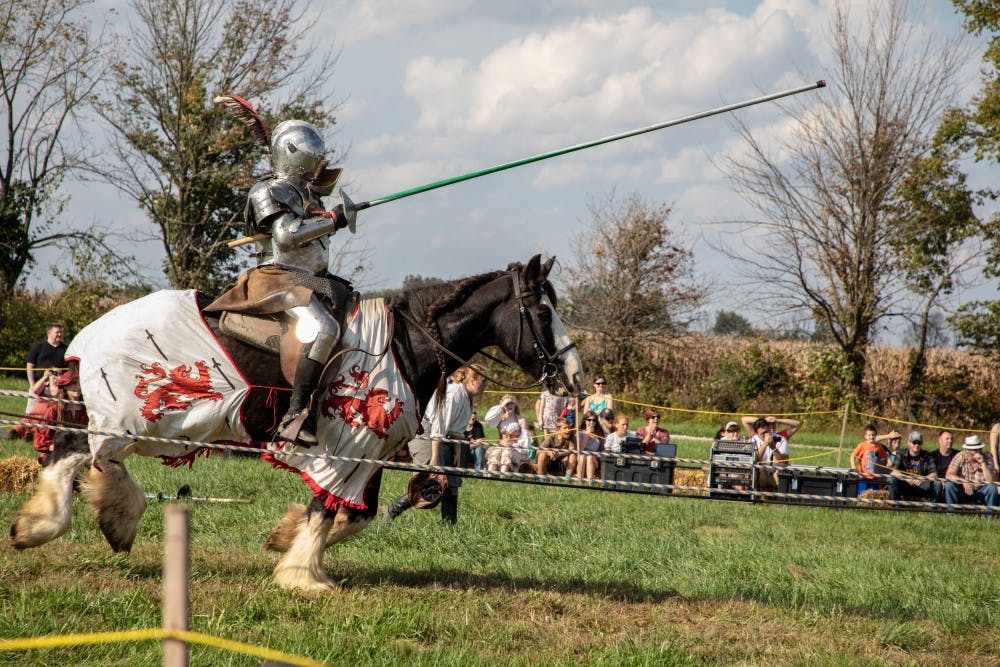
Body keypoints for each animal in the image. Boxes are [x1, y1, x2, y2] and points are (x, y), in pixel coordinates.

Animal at [9, 256, 584, 588]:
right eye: (543, 312)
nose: (575, 375)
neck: (405, 345)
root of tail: (91, 331)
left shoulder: (367, 455)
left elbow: (357, 514)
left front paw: (287, 543)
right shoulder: (349, 444)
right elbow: (327, 509)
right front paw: (303, 575)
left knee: (86, 455)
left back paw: (108, 514)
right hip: (141, 414)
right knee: (73, 450)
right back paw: (45, 524)